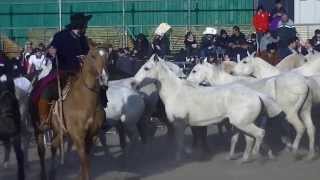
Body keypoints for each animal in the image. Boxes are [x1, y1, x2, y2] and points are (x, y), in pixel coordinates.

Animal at [30, 41, 109, 180]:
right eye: (93, 56)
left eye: (108, 56)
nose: (104, 79)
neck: (85, 100)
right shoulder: (77, 135)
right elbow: (84, 160)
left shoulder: (92, 134)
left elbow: (86, 160)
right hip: (38, 128)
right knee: (41, 151)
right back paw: (44, 174)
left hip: (59, 130)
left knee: (54, 146)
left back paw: (52, 173)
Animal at [131, 55, 282, 163]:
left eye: (146, 68)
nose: (133, 83)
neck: (176, 92)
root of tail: (256, 94)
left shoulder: (179, 124)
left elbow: (179, 143)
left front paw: (180, 158)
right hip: (243, 123)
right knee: (251, 138)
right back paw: (244, 159)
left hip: (242, 123)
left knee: (260, 134)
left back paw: (256, 155)